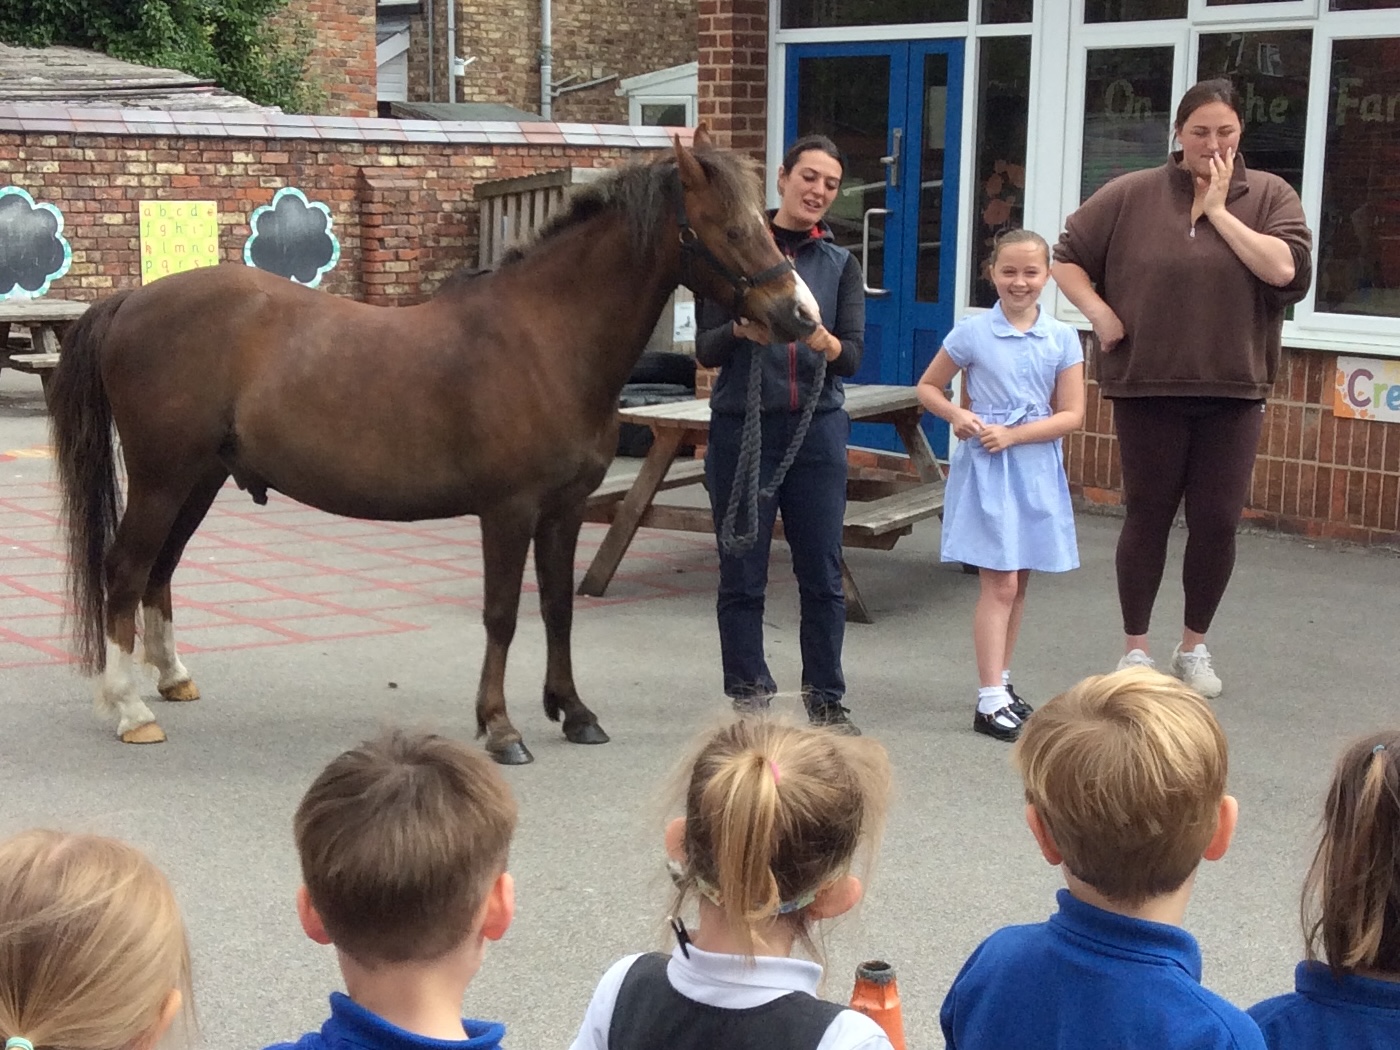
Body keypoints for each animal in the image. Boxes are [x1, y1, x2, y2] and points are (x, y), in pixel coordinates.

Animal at [47, 126, 818, 764]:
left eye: (765, 221)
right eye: (730, 228)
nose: (801, 316)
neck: (546, 339)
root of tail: (131, 301)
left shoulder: (565, 510)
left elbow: (559, 608)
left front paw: (573, 712)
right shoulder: (507, 511)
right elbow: (502, 616)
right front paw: (500, 728)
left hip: (198, 480)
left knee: (160, 570)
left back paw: (173, 678)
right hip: (161, 479)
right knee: (124, 570)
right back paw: (131, 710)